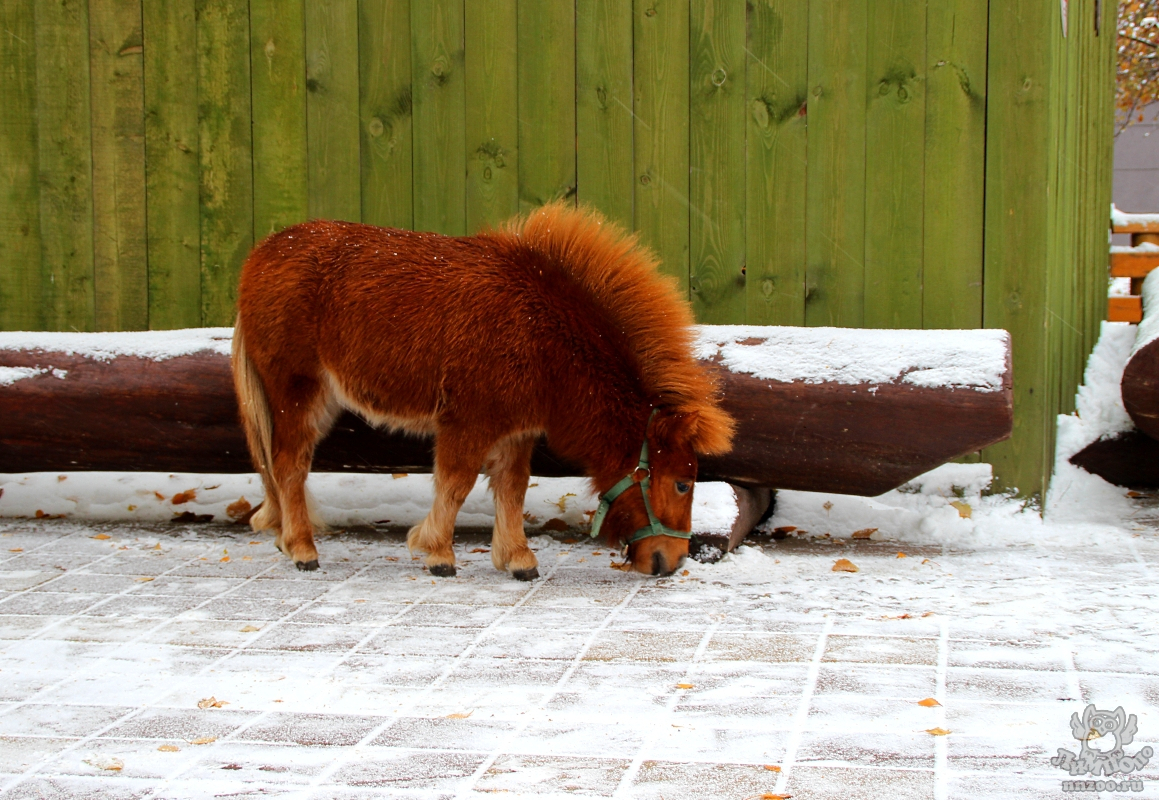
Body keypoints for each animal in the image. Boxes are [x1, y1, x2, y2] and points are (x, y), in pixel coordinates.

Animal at [234, 204, 732, 579]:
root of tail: (262, 254)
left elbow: (512, 490)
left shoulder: (517, 431)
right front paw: (437, 552)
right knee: (289, 464)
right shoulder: (467, 423)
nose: (671, 562)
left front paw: (517, 559)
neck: (541, 332)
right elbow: (456, 485)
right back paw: (302, 549)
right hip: (299, 393)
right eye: (683, 482)